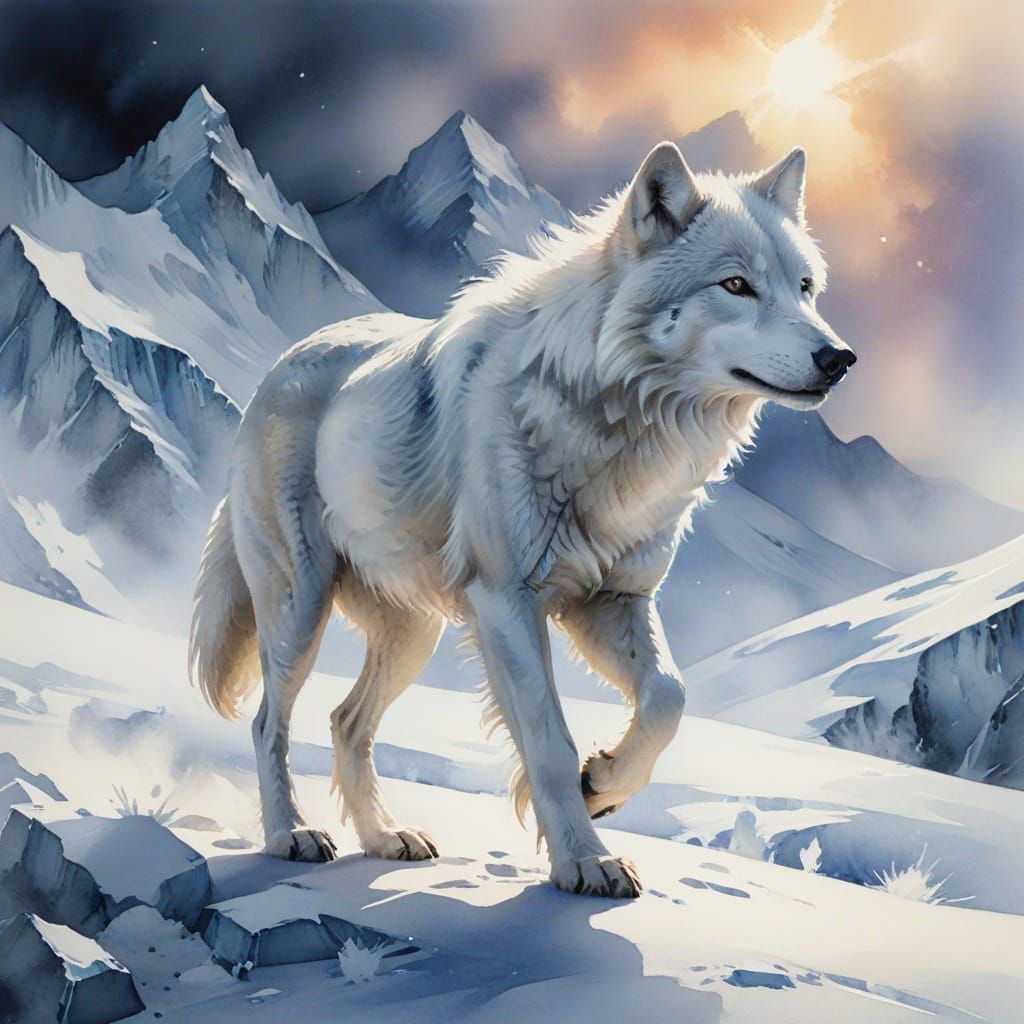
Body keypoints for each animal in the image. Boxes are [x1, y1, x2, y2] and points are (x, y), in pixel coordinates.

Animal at [189, 141, 855, 898]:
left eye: (805, 288)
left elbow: (668, 698)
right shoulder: (507, 601)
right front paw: (585, 859)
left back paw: (386, 837)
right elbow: (548, 739)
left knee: (345, 721)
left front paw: (604, 783)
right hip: (298, 607)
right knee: (269, 721)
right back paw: (291, 835)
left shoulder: (611, 600)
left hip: (413, 632)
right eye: (737, 285)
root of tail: (277, 368)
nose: (839, 358)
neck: (611, 419)